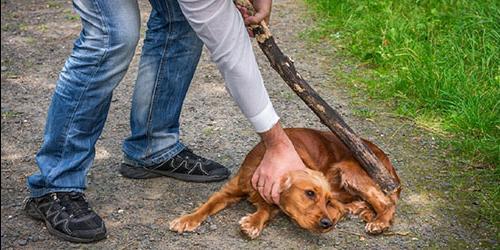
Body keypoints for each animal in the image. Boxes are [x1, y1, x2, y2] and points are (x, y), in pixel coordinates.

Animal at [170, 129, 400, 238]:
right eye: (310, 193)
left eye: (325, 200)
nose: (327, 224)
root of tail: (386, 160)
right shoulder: (229, 190)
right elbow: (206, 206)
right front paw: (186, 219)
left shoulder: (273, 202)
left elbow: (264, 211)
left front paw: (252, 224)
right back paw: (362, 210)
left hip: (350, 170)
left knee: (386, 202)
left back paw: (379, 222)